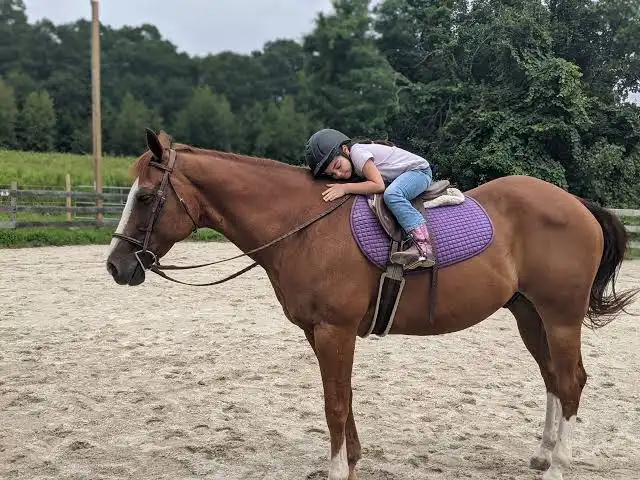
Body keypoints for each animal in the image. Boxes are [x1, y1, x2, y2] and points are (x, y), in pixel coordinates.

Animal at [106, 130, 637, 480]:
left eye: (147, 196)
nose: (116, 266)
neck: (304, 224)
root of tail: (577, 204)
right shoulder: (320, 334)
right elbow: (343, 399)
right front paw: (353, 461)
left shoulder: (333, 330)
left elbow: (335, 404)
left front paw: (338, 470)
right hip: (530, 314)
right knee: (551, 379)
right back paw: (544, 454)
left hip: (561, 317)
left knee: (570, 381)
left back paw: (558, 466)